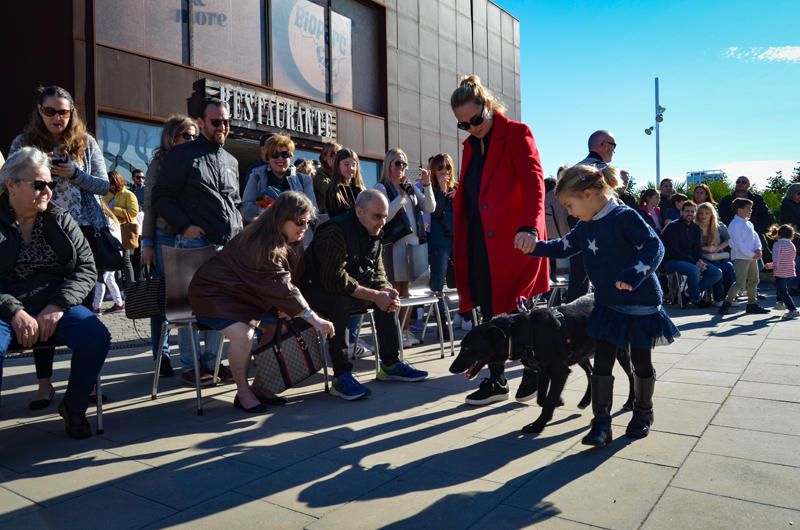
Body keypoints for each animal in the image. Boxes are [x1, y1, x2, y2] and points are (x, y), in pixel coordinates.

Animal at [450, 292, 632, 434]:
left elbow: (548, 400)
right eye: (462, 346)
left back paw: (630, 403)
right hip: (581, 354)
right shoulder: (544, 371)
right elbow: (542, 398)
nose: (451, 369)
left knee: (631, 376)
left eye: (468, 348)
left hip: (619, 352)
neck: (524, 332)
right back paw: (585, 401)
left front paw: (538, 426)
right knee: (591, 372)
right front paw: (558, 401)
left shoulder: (560, 372)